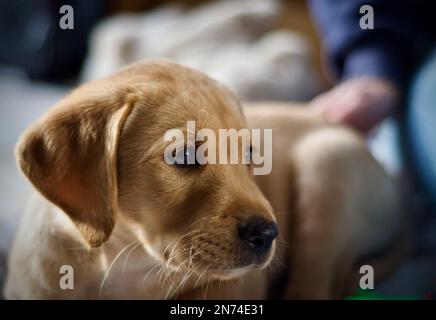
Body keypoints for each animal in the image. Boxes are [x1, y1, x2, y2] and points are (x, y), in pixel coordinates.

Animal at [4, 60, 406, 300]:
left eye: (250, 155)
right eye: (183, 156)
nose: (268, 234)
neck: (120, 263)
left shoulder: (238, 284)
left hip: (325, 165)